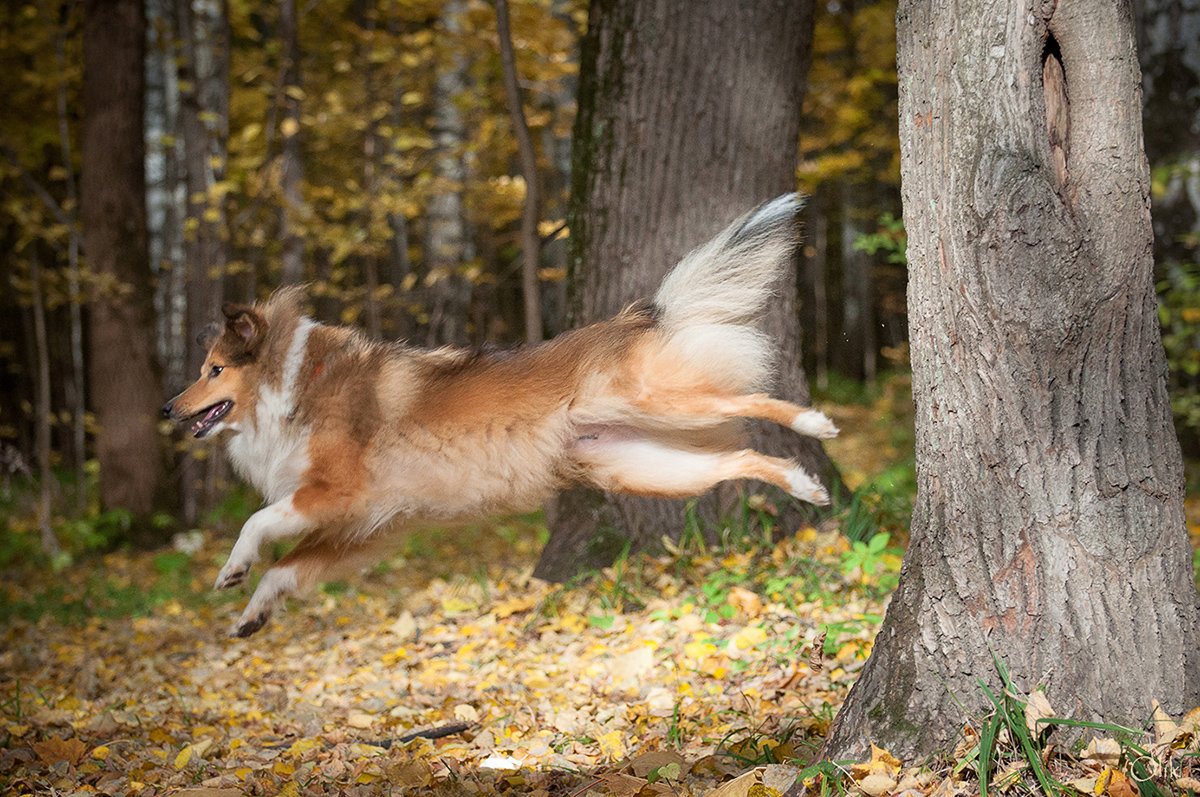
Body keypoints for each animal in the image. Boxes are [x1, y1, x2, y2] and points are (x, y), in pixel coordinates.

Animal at [164, 195, 835, 638]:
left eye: (213, 370)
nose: (168, 407)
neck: (300, 384)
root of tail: (635, 317)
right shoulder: (360, 527)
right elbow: (287, 567)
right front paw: (254, 612)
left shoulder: (333, 494)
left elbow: (256, 523)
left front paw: (233, 569)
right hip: (641, 465)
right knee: (740, 456)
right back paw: (804, 484)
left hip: (657, 401)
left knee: (751, 401)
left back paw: (814, 426)